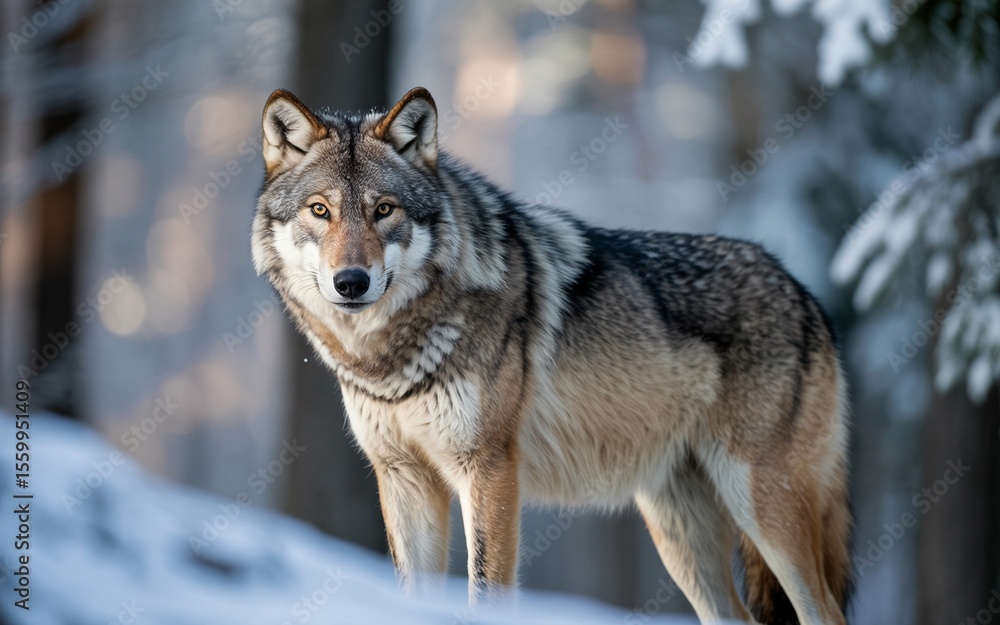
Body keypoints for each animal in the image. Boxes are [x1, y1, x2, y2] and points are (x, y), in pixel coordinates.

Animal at [251, 86, 853, 625]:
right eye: (320, 211)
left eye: (383, 210)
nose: (351, 282)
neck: (387, 356)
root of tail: (802, 290)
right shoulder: (403, 479)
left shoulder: (489, 470)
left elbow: (486, 592)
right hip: (679, 532)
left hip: (763, 507)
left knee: (824, 611)